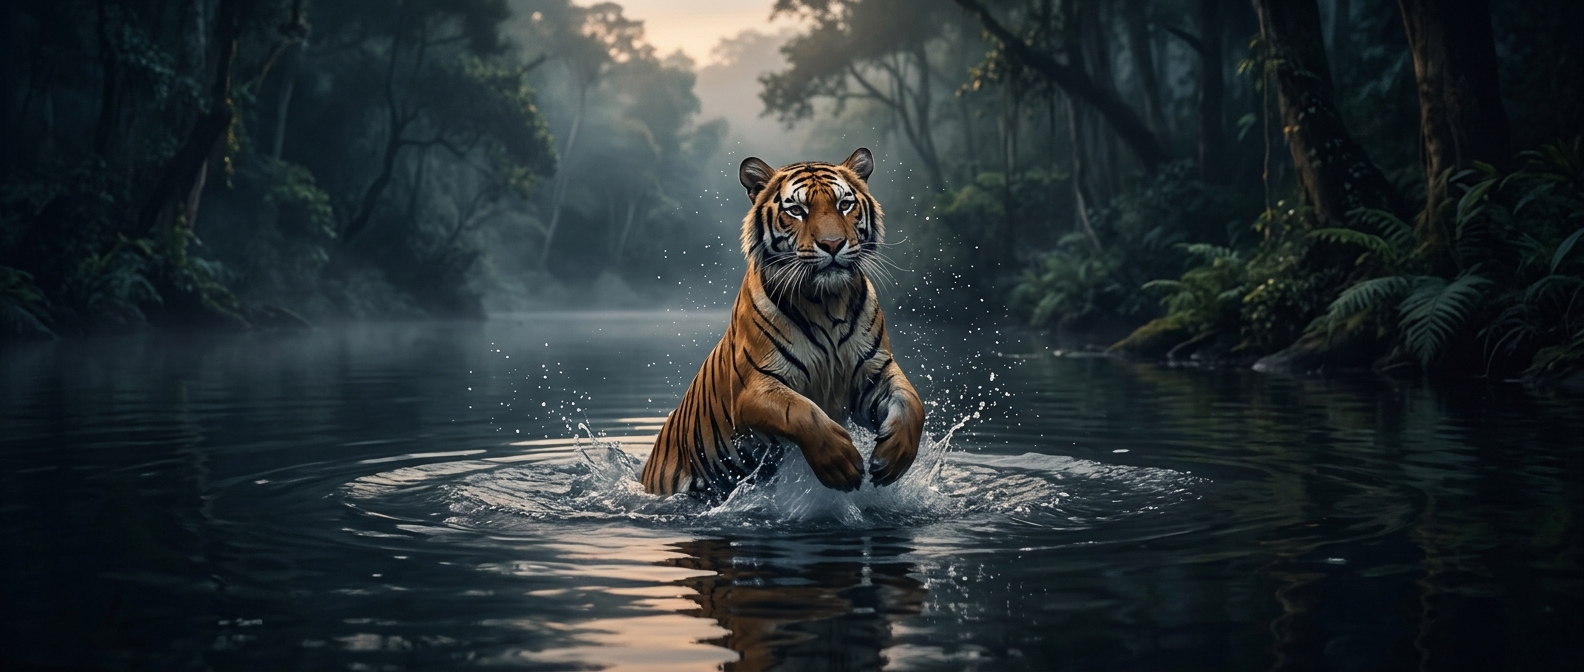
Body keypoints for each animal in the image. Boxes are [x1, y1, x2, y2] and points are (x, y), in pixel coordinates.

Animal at [639, 147, 925, 501]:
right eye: (797, 210)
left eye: (845, 204)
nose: (833, 244)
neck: (826, 303)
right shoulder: (755, 389)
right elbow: (802, 412)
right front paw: (841, 464)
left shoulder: (874, 372)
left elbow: (911, 403)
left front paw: (894, 457)